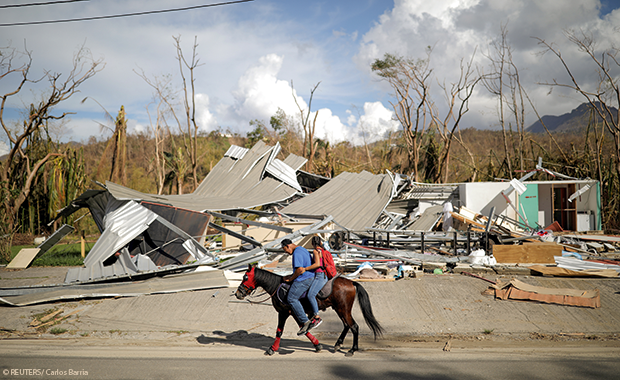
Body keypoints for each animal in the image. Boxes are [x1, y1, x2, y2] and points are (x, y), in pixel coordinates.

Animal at [236, 264, 382, 356]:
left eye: (245, 277)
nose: (238, 293)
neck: (277, 287)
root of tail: (351, 282)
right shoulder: (295, 312)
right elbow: (304, 328)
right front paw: (317, 345)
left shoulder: (284, 312)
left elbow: (280, 331)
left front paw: (272, 349)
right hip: (339, 309)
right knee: (347, 325)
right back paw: (338, 344)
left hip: (343, 309)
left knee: (354, 327)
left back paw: (352, 350)